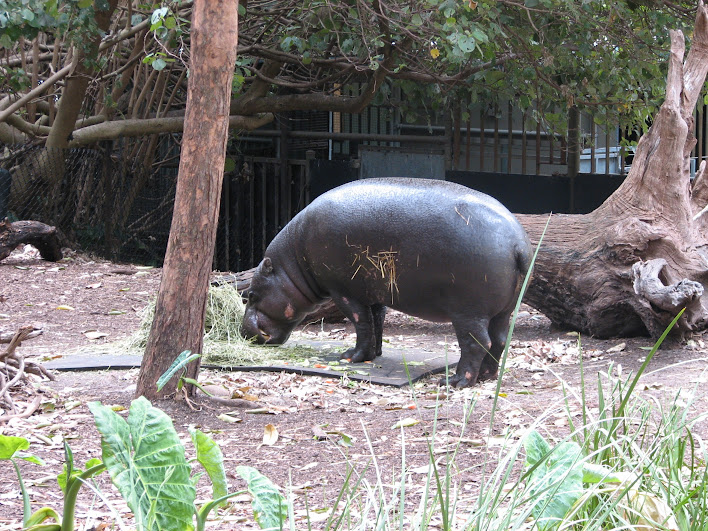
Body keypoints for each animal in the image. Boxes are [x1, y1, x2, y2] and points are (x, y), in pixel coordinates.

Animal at [240, 178, 532, 387]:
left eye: (250, 295)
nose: (242, 332)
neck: (293, 265)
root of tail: (518, 243)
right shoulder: (374, 291)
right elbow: (376, 321)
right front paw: (375, 354)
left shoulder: (342, 290)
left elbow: (361, 324)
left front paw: (350, 357)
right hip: (503, 311)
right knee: (500, 340)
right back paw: (486, 376)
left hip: (468, 311)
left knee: (478, 342)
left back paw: (455, 381)